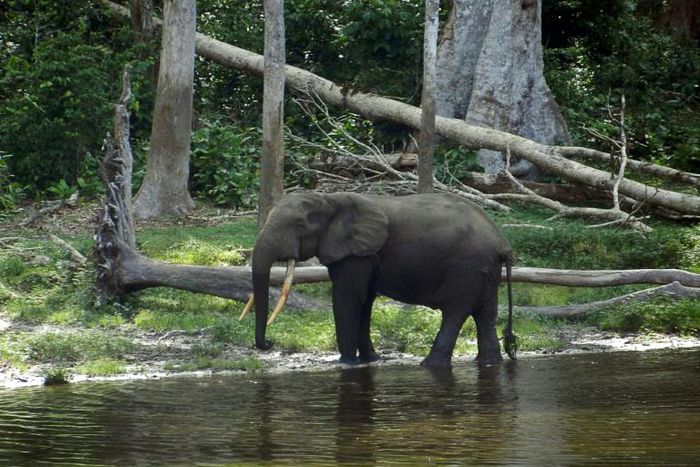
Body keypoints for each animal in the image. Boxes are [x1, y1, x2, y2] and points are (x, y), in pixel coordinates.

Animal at [243, 191, 516, 367]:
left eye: (299, 224)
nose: (269, 344)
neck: (330, 199)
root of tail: (502, 243)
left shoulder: (355, 253)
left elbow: (348, 297)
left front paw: (346, 364)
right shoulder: (363, 254)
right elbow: (365, 300)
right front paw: (370, 360)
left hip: (467, 268)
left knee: (456, 311)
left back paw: (430, 365)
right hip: (485, 271)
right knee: (485, 313)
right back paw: (489, 363)